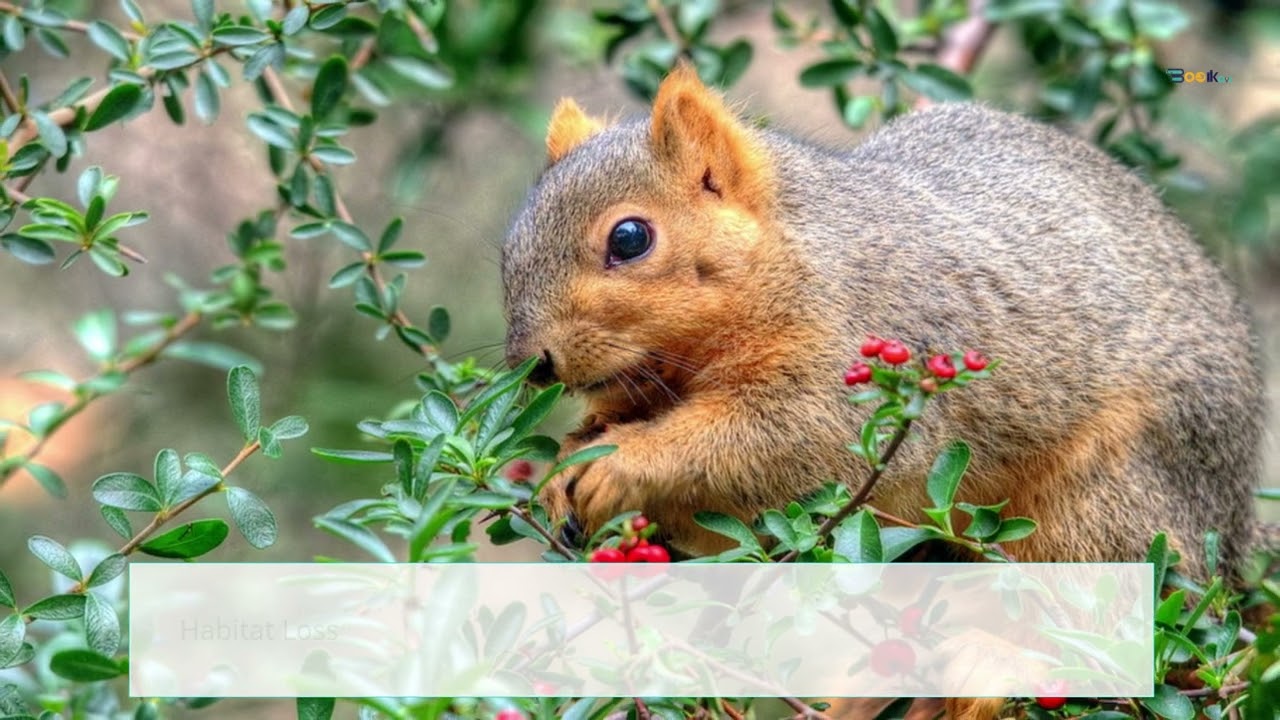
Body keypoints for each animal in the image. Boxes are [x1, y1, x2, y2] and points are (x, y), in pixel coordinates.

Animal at [500, 64, 1265, 584]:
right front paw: (567, 460)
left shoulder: (856, 359)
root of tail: (1233, 533)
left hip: (1104, 502)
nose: (533, 363)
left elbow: (779, 445)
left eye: (629, 238)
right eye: (508, 244)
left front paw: (619, 463)